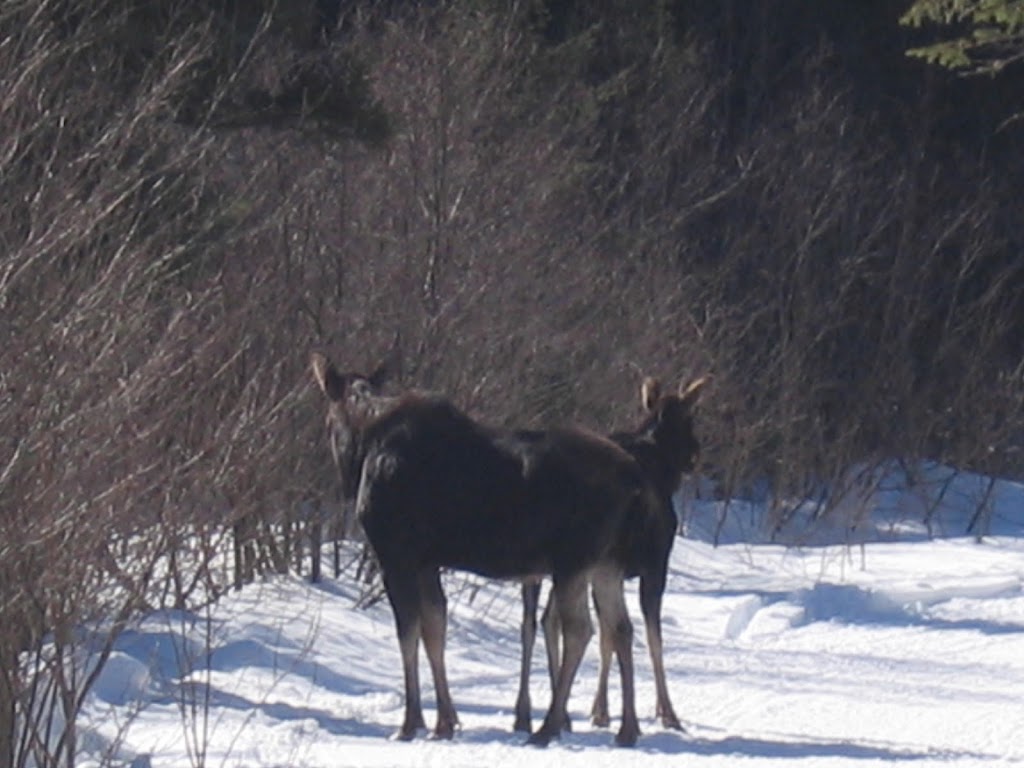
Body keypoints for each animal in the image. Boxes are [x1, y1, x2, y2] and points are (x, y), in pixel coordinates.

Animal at [307, 358, 655, 749]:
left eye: (327, 420)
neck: (364, 443)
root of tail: (636, 482)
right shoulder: (427, 563)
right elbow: (434, 629)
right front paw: (445, 721)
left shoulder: (396, 555)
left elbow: (408, 632)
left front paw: (410, 723)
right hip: (606, 564)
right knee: (620, 627)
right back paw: (626, 729)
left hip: (573, 561)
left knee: (581, 630)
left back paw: (548, 727)